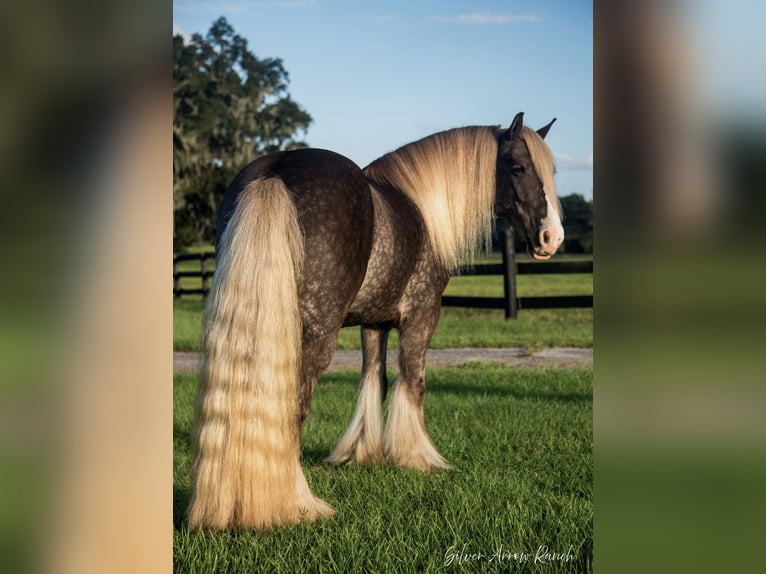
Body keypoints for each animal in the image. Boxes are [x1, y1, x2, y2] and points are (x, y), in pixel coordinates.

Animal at [186, 111, 564, 532]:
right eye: (519, 167)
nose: (551, 238)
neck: (422, 212)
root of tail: (276, 172)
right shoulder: (421, 316)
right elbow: (413, 381)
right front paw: (418, 458)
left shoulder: (375, 324)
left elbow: (374, 380)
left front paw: (363, 453)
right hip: (315, 336)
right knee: (294, 407)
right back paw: (298, 505)